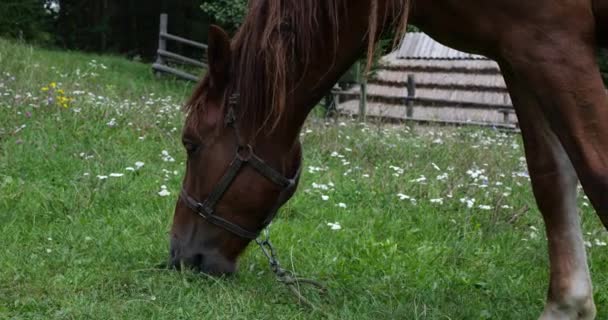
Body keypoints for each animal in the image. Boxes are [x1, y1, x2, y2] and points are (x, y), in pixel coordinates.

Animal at [169, 1, 608, 318]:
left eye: (190, 143)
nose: (178, 256)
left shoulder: (551, 44)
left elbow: (596, 174)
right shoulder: (516, 52)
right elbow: (551, 178)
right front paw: (569, 304)